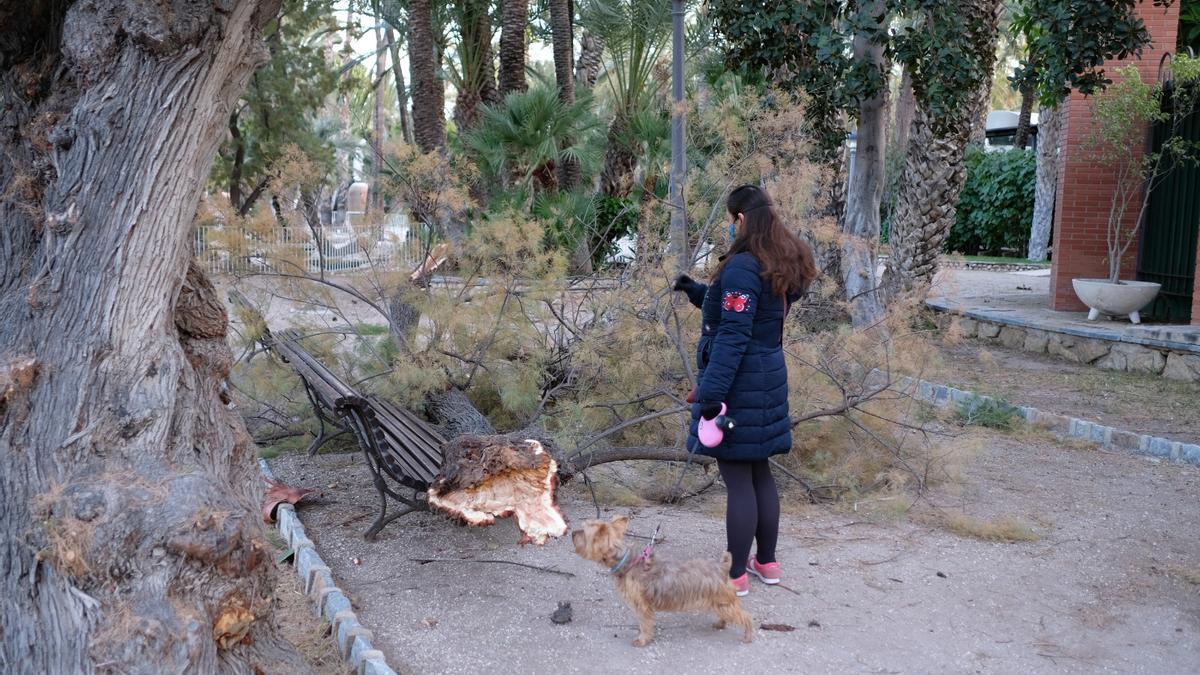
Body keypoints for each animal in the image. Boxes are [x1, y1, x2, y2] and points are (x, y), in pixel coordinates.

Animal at [568, 511, 748, 643]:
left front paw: (642, 640)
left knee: (745, 617)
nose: (572, 533)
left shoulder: (642, 605)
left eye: (583, 533)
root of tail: (722, 567)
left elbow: (645, 624)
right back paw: (720, 623)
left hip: (724, 601)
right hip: (720, 602)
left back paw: (748, 635)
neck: (627, 560)